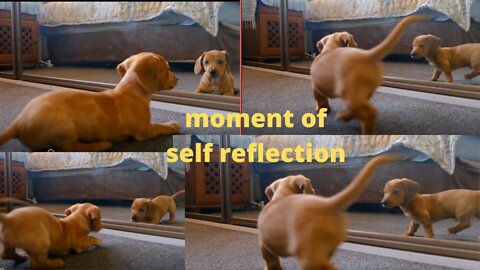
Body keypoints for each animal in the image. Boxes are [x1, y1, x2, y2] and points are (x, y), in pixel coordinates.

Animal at [0, 51, 179, 151]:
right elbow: (159, 127)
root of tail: (19, 123)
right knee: (69, 148)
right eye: (167, 68)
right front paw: (171, 125)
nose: (178, 79)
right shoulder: (144, 131)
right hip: (66, 129)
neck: (131, 92)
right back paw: (100, 145)